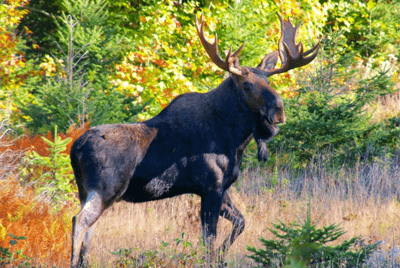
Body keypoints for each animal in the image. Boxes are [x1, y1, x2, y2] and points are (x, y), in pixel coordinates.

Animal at [69, 13, 318, 268]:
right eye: (247, 85)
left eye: (269, 82)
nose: (278, 111)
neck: (236, 139)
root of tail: (75, 149)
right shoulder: (210, 186)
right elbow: (209, 238)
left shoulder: (221, 187)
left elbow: (240, 222)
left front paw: (221, 257)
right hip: (106, 189)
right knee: (79, 221)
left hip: (86, 191)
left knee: (89, 228)